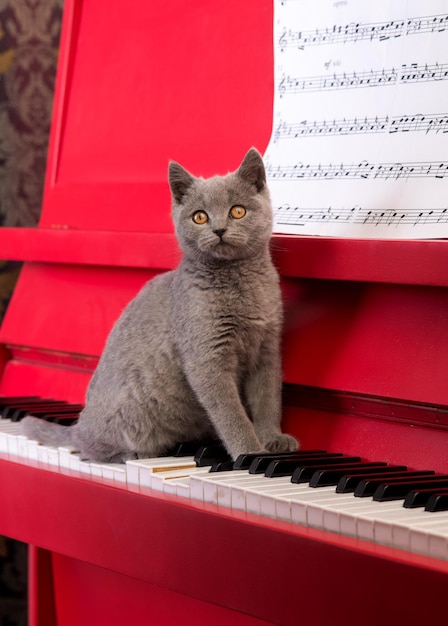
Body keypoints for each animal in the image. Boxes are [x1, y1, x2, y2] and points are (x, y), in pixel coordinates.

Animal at [22, 146, 300, 458]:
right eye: (200, 217)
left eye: (237, 211)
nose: (218, 229)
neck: (241, 287)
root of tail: (79, 425)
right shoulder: (206, 359)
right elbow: (232, 414)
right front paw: (250, 452)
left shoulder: (267, 349)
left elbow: (268, 399)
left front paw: (273, 438)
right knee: (91, 447)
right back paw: (132, 454)